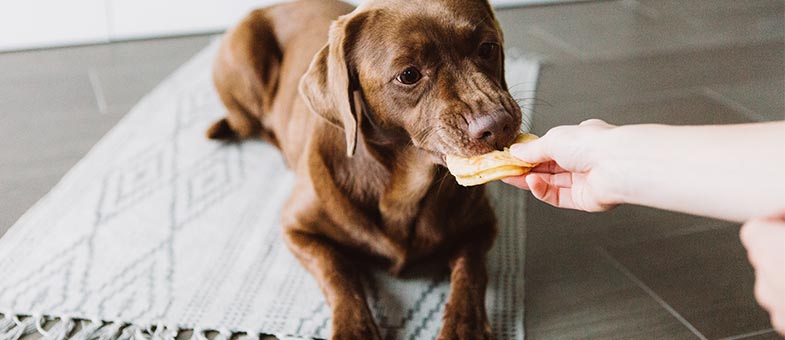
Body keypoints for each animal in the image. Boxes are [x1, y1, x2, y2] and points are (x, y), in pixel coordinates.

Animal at [210, 1, 520, 338]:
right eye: (409, 75)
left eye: (487, 48)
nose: (498, 124)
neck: (405, 183)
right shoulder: (296, 227)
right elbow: (338, 270)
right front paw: (354, 326)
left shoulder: (483, 224)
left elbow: (471, 269)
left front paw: (465, 325)